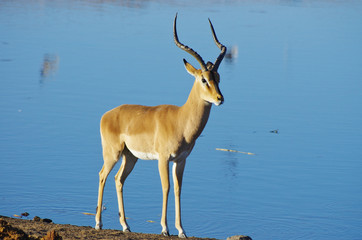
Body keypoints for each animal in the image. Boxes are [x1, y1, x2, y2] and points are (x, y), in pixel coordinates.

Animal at [96, 14, 226, 237]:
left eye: (218, 78)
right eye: (203, 79)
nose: (220, 98)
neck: (181, 120)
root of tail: (107, 115)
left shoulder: (181, 160)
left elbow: (178, 189)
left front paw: (181, 230)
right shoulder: (163, 158)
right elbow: (166, 187)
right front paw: (165, 228)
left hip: (130, 157)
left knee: (118, 180)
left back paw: (125, 225)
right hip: (113, 153)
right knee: (102, 176)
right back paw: (98, 223)